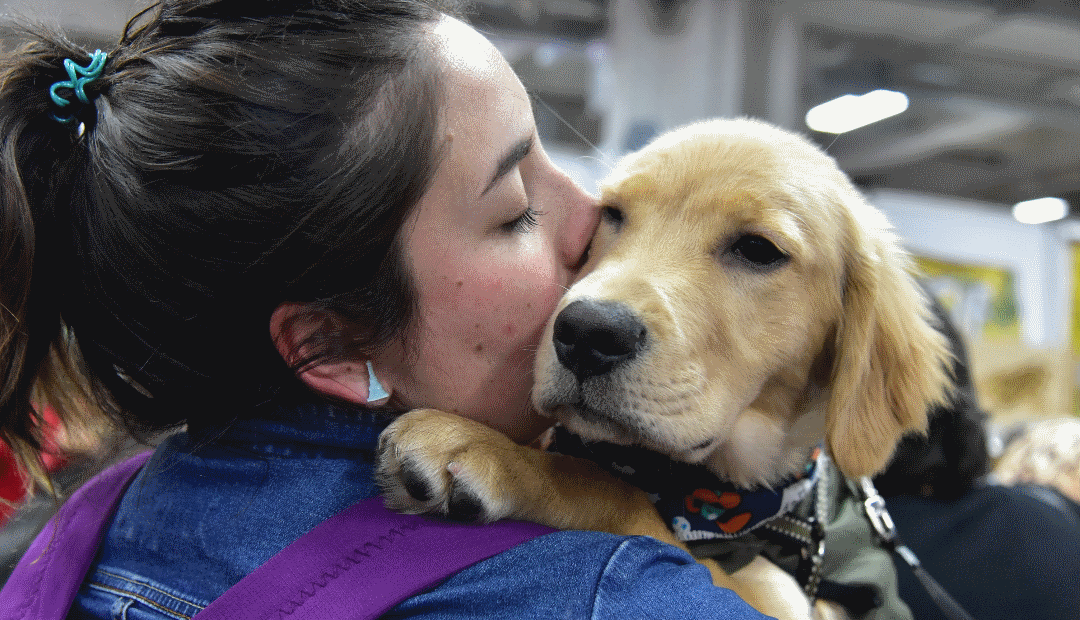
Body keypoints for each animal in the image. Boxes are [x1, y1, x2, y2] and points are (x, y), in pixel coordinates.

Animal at [375, 117, 950, 620]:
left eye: (758, 249)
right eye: (612, 214)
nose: (587, 333)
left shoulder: (786, 600)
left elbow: (607, 488)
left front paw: (487, 450)